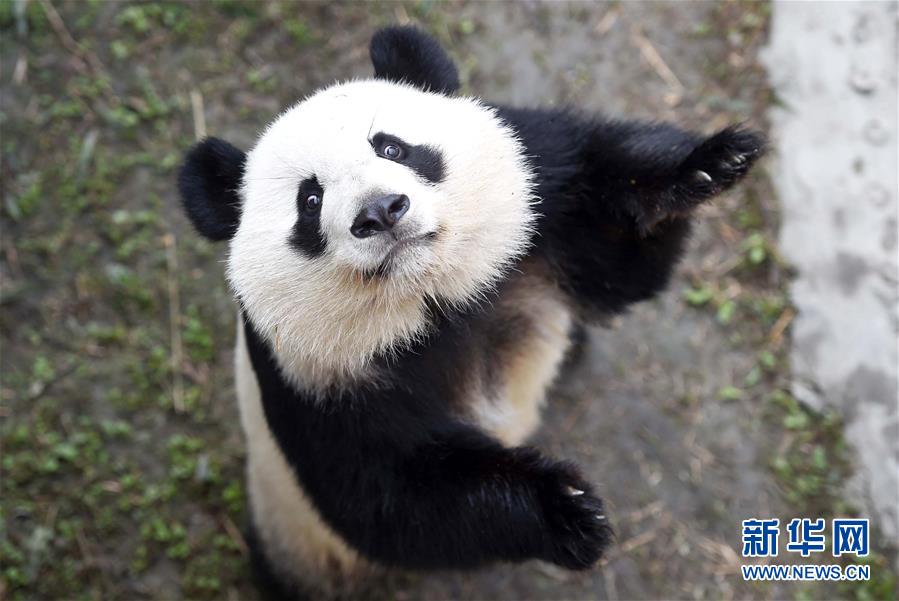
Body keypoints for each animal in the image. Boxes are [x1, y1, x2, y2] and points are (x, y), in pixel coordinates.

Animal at [178, 26, 764, 598]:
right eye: (310, 201)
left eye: (391, 147)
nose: (379, 212)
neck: (433, 298)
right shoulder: (310, 376)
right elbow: (392, 496)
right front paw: (567, 511)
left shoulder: (542, 205)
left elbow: (616, 264)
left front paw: (706, 166)